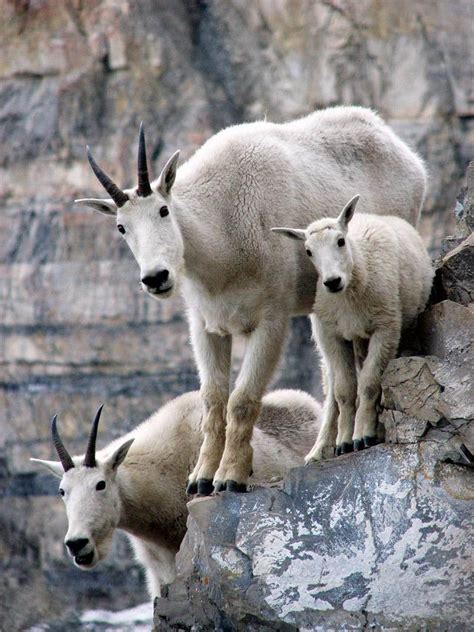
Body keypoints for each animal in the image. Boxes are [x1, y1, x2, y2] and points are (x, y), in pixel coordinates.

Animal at [270, 195, 434, 462]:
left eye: (340, 241)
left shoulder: (385, 329)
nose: (331, 282)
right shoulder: (332, 337)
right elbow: (345, 391)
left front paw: (362, 436)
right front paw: (344, 442)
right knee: (333, 391)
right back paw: (320, 448)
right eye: (308, 251)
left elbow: (368, 383)